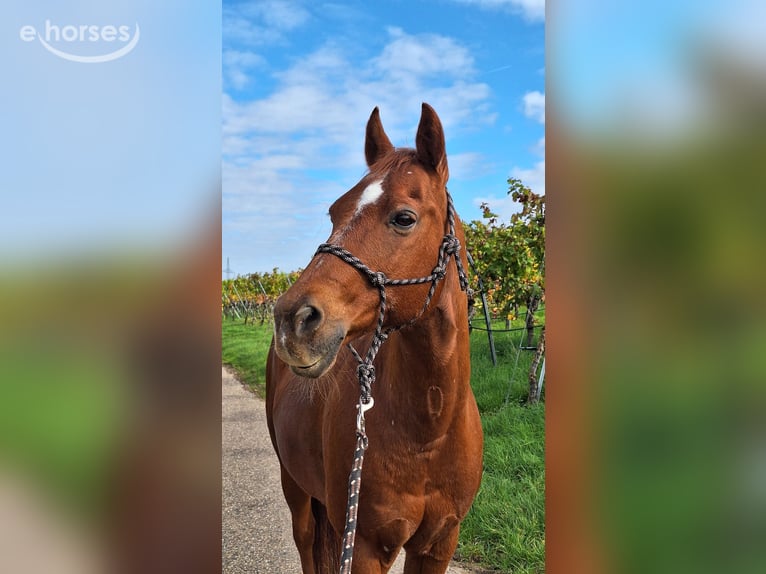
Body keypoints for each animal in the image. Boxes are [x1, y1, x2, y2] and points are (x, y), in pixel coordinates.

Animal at [266, 103, 483, 574]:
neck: (429, 430)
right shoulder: (366, 548)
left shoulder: (438, 544)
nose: (292, 318)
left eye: (404, 217)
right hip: (296, 491)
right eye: (334, 212)